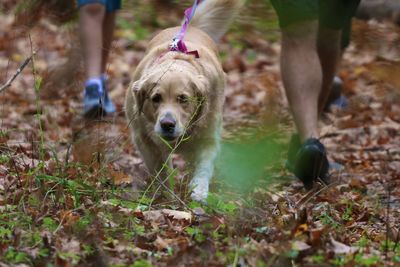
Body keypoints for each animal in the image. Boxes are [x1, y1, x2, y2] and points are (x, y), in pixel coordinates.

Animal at [125, 0, 244, 201]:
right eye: (156, 98)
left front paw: (199, 191)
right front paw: (167, 194)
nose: (167, 124)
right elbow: (162, 170)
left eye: (183, 99)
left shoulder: (208, 135)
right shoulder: (144, 138)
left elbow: (204, 166)